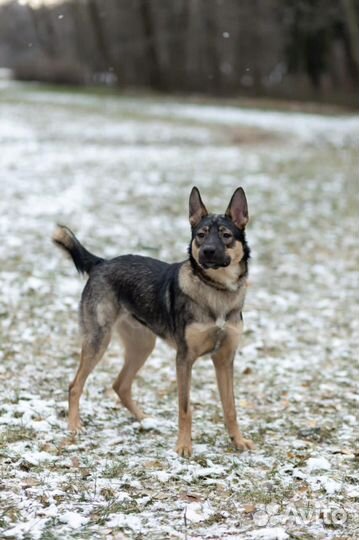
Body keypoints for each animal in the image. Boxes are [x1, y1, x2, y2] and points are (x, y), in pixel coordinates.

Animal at [54, 186, 256, 456]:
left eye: (225, 235)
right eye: (201, 235)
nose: (208, 252)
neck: (217, 290)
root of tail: (101, 263)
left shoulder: (224, 360)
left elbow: (230, 407)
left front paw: (238, 441)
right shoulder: (184, 359)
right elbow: (185, 408)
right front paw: (183, 446)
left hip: (142, 346)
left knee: (120, 385)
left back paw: (145, 420)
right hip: (98, 341)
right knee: (75, 385)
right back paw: (75, 426)